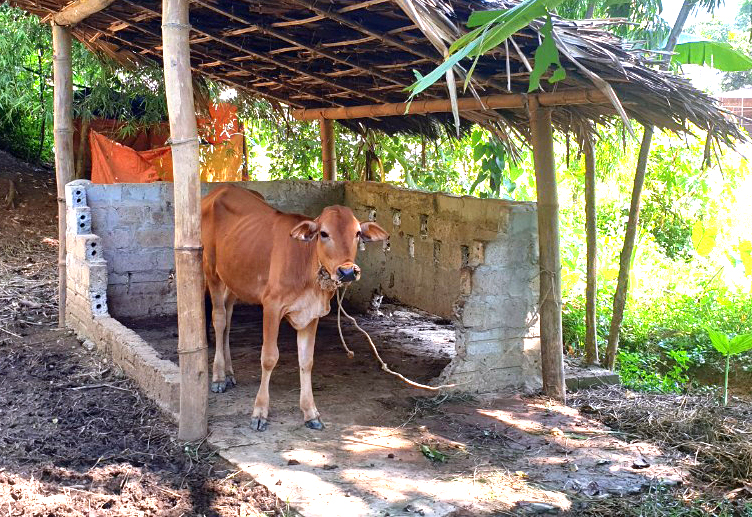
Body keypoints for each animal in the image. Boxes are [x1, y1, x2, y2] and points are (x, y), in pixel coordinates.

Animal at [201, 183, 388, 430]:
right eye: (323, 233)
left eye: (357, 233)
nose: (347, 271)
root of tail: (220, 189)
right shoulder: (271, 306)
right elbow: (269, 357)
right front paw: (260, 412)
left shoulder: (312, 314)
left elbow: (307, 361)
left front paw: (310, 413)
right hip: (211, 270)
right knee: (220, 319)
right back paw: (219, 378)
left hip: (234, 280)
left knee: (228, 322)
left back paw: (230, 373)